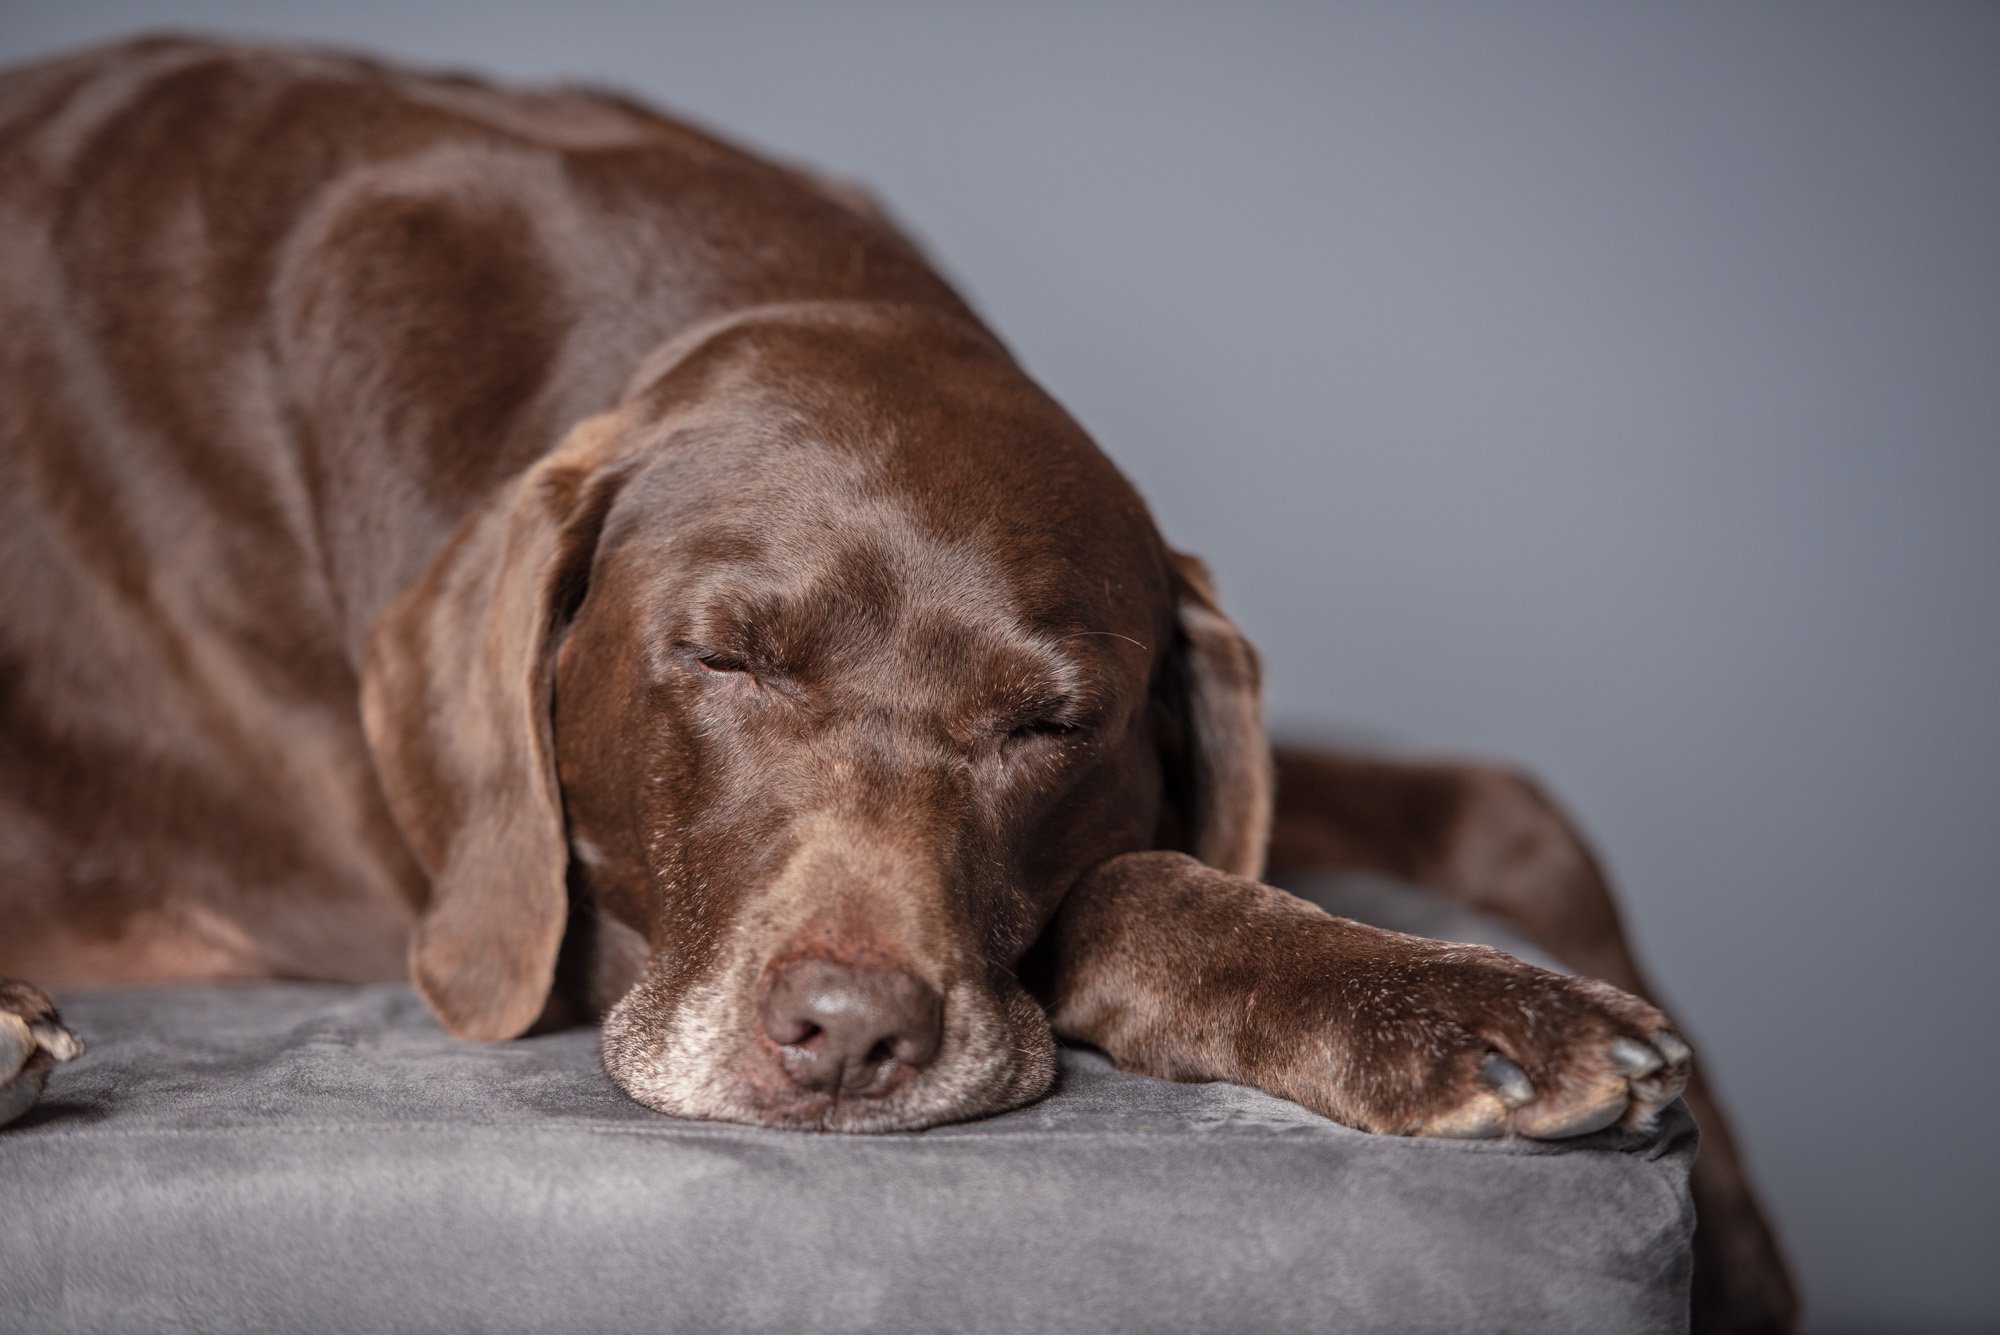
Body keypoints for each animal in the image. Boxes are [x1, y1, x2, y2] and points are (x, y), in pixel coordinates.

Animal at [0, 36, 1800, 1327]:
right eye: (722, 656)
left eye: (1048, 720)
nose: (852, 1038)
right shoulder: (540, 928)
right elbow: (1132, 890)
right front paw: (1450, 1008)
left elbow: (1507, 806)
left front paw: (1722, 1233)